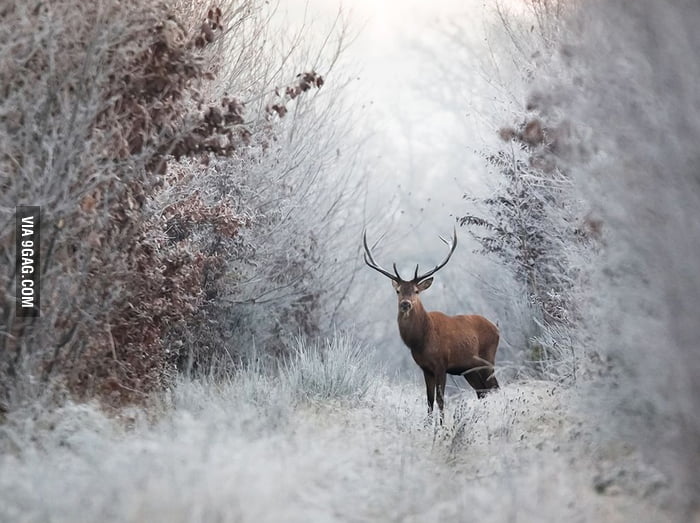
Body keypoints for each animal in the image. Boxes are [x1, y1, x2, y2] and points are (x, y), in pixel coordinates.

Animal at [363, 228, 500, 422]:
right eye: (398, 291)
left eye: (416, 291)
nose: (405, 304)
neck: (421, 340)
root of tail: (497, 328)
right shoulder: (425, 368)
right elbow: (428, 400)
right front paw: (427, 425)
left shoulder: (442, 364)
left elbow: (440, 399)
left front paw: (442, 426)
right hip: (469, 369)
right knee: (482, 391)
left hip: (488, 359)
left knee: (494, 388)